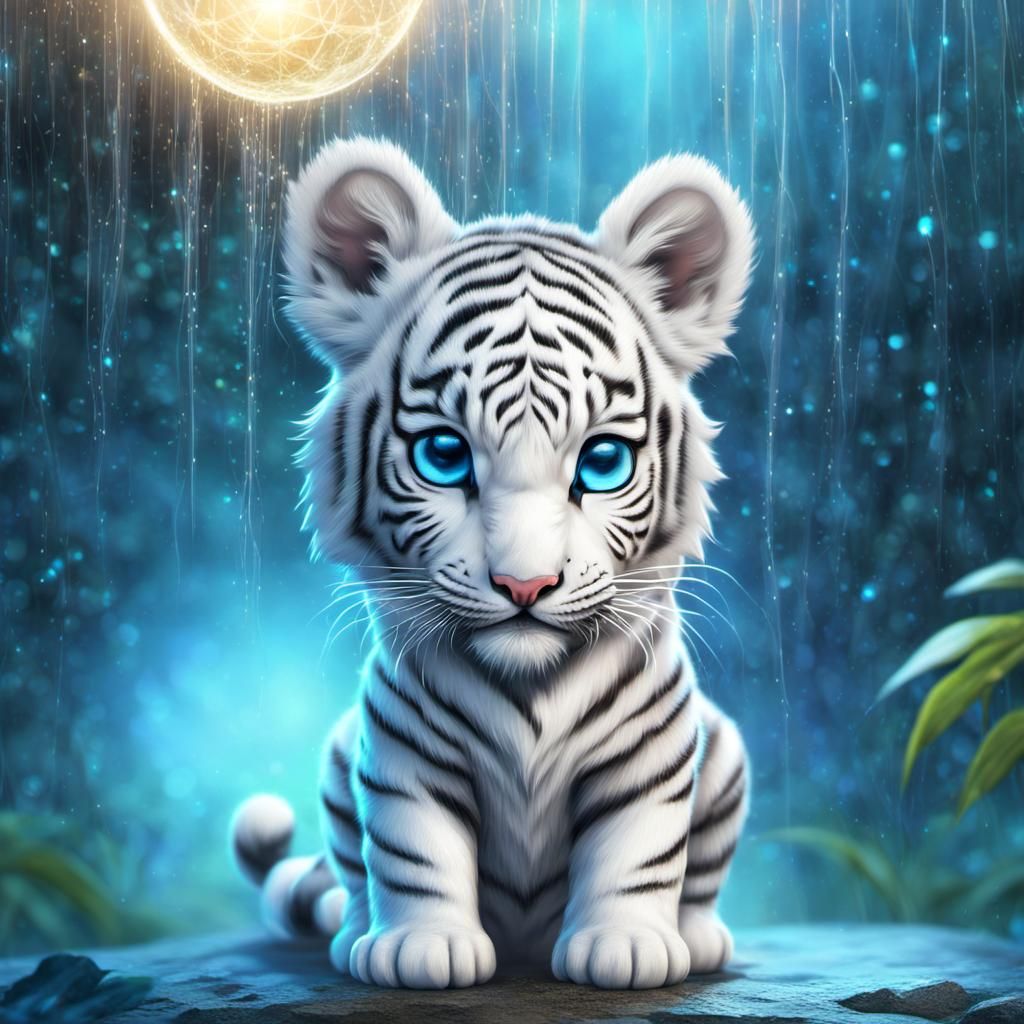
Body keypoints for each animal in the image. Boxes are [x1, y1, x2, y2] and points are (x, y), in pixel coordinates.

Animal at [230, 136, 755, 990]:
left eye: (602, 462)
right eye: (444, 455)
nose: (524, 585)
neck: (528, 687)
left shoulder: (649, 755)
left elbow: (637, 849)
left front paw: (626, 946)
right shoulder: (401, 756)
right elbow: (411, 850)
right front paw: (422, 948)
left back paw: (699, 937)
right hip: (341, 755)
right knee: (350, 869)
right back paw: (355, 934)